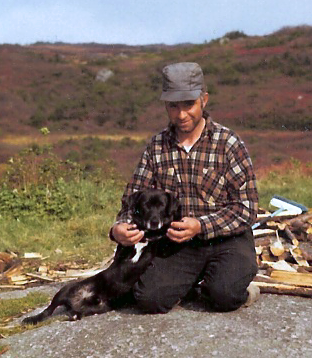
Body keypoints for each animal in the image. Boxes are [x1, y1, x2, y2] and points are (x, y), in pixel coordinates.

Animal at [23, 189, 182, 326]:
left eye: (162, 205)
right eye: (145, 205)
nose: (154, 222)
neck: (148, 233)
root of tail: (76, 302)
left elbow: (161, 240)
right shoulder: (122, 252)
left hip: (101, 308)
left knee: (78, 312)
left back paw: (74, 315)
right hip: (65, 289)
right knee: (49, 309)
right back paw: (32, 319)